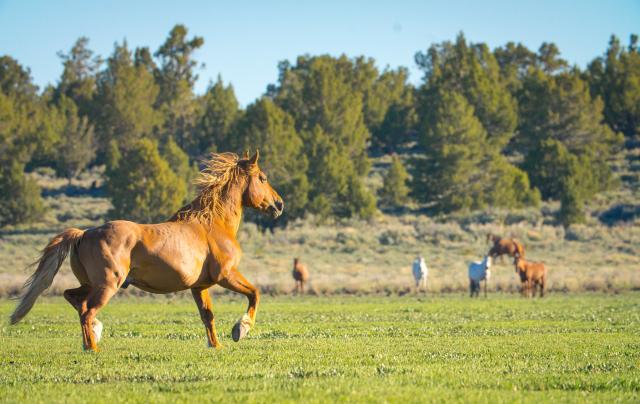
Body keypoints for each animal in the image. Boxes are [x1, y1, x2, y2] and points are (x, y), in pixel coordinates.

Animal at [8, 150, 284, 352]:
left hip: (91, 284)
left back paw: (95, 333)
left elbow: (208, 316)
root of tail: (83, 233)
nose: (279, 205)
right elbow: (255, 294)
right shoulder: (225, 275)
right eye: (263, 178)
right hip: (108, 285)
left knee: (73, 298)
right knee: (86, 310)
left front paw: (215, 346)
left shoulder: (199, 286)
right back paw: (92, 347)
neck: (212, 224)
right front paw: (240, 329)